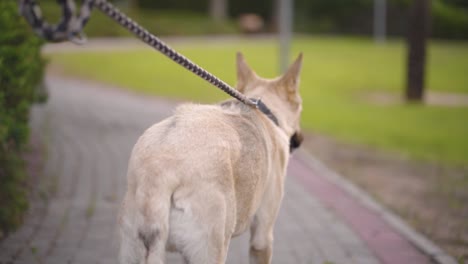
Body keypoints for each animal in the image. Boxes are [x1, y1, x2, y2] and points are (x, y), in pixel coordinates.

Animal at [119, 52, 306, 264]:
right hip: (212, 248)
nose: (301, 139)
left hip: (132, 247)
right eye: (301, 108)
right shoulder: (262, 236)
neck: (263, 111)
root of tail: (157, 171)